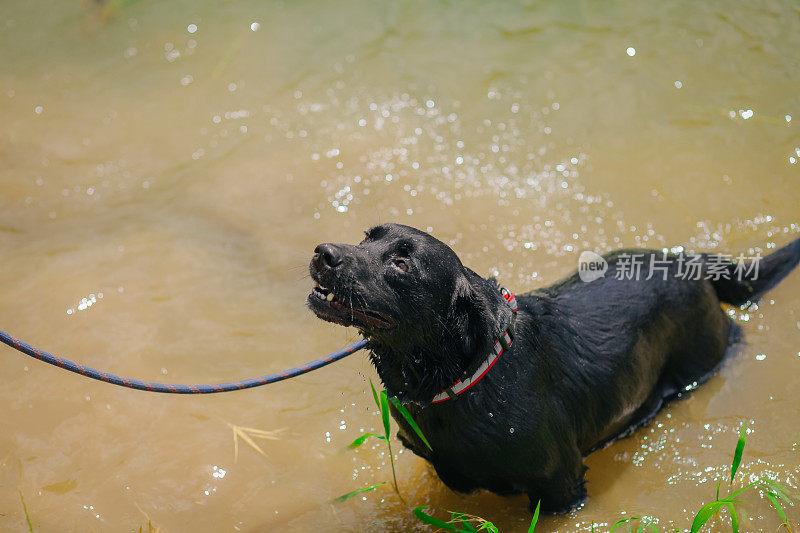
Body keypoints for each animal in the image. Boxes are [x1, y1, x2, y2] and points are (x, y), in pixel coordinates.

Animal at [306, 223, 800, 512]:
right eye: (367, 238)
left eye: (402, 262)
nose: (323, 252)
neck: (464, 381)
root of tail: (688, 260)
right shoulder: (448, 474)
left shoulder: (560, 486)